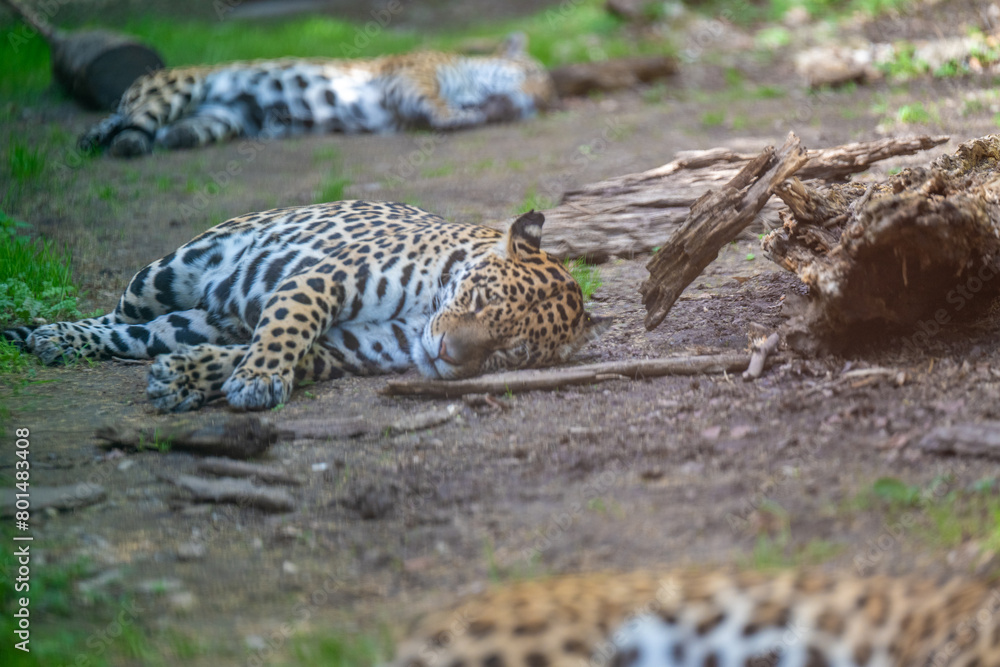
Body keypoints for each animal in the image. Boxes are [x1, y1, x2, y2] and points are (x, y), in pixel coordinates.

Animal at [3, 201, 610, 412]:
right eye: (480, 299)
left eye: (511, 352)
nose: (447, 354)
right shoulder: (325, 279)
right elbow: (287, 329)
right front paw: (260, 381)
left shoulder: (349, 347)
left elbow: (279, 351)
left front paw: (190, 379)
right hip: (163, 276)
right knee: (115, 315)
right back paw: (52, 336)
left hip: (183, 323)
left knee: (135, 336)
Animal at [78, 33, 554, 157]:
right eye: (532, 73)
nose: (544, 102)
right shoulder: (409, 77)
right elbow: (435, 102)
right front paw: (461, 115)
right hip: (178, 88)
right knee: (132, 123)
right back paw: (121, 144)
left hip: (220, 117)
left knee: (167, 131)